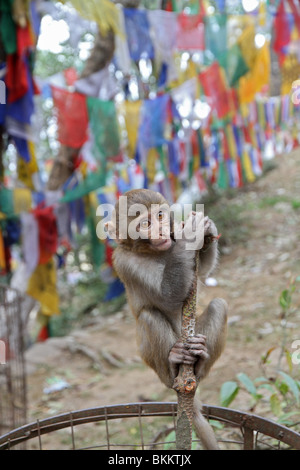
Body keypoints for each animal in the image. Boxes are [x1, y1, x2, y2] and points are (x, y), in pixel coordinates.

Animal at [105, 189, 227, 450]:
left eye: (160, 216)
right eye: (145, 224)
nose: (161, 232)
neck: (153, 252)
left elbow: (201, 273)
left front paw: (207, 229)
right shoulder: (125, 263)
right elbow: (168, 295)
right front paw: (190, 233)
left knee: (219, 305)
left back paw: (200, 359)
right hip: (156, 363)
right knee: (149, 316)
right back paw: (173, 364)